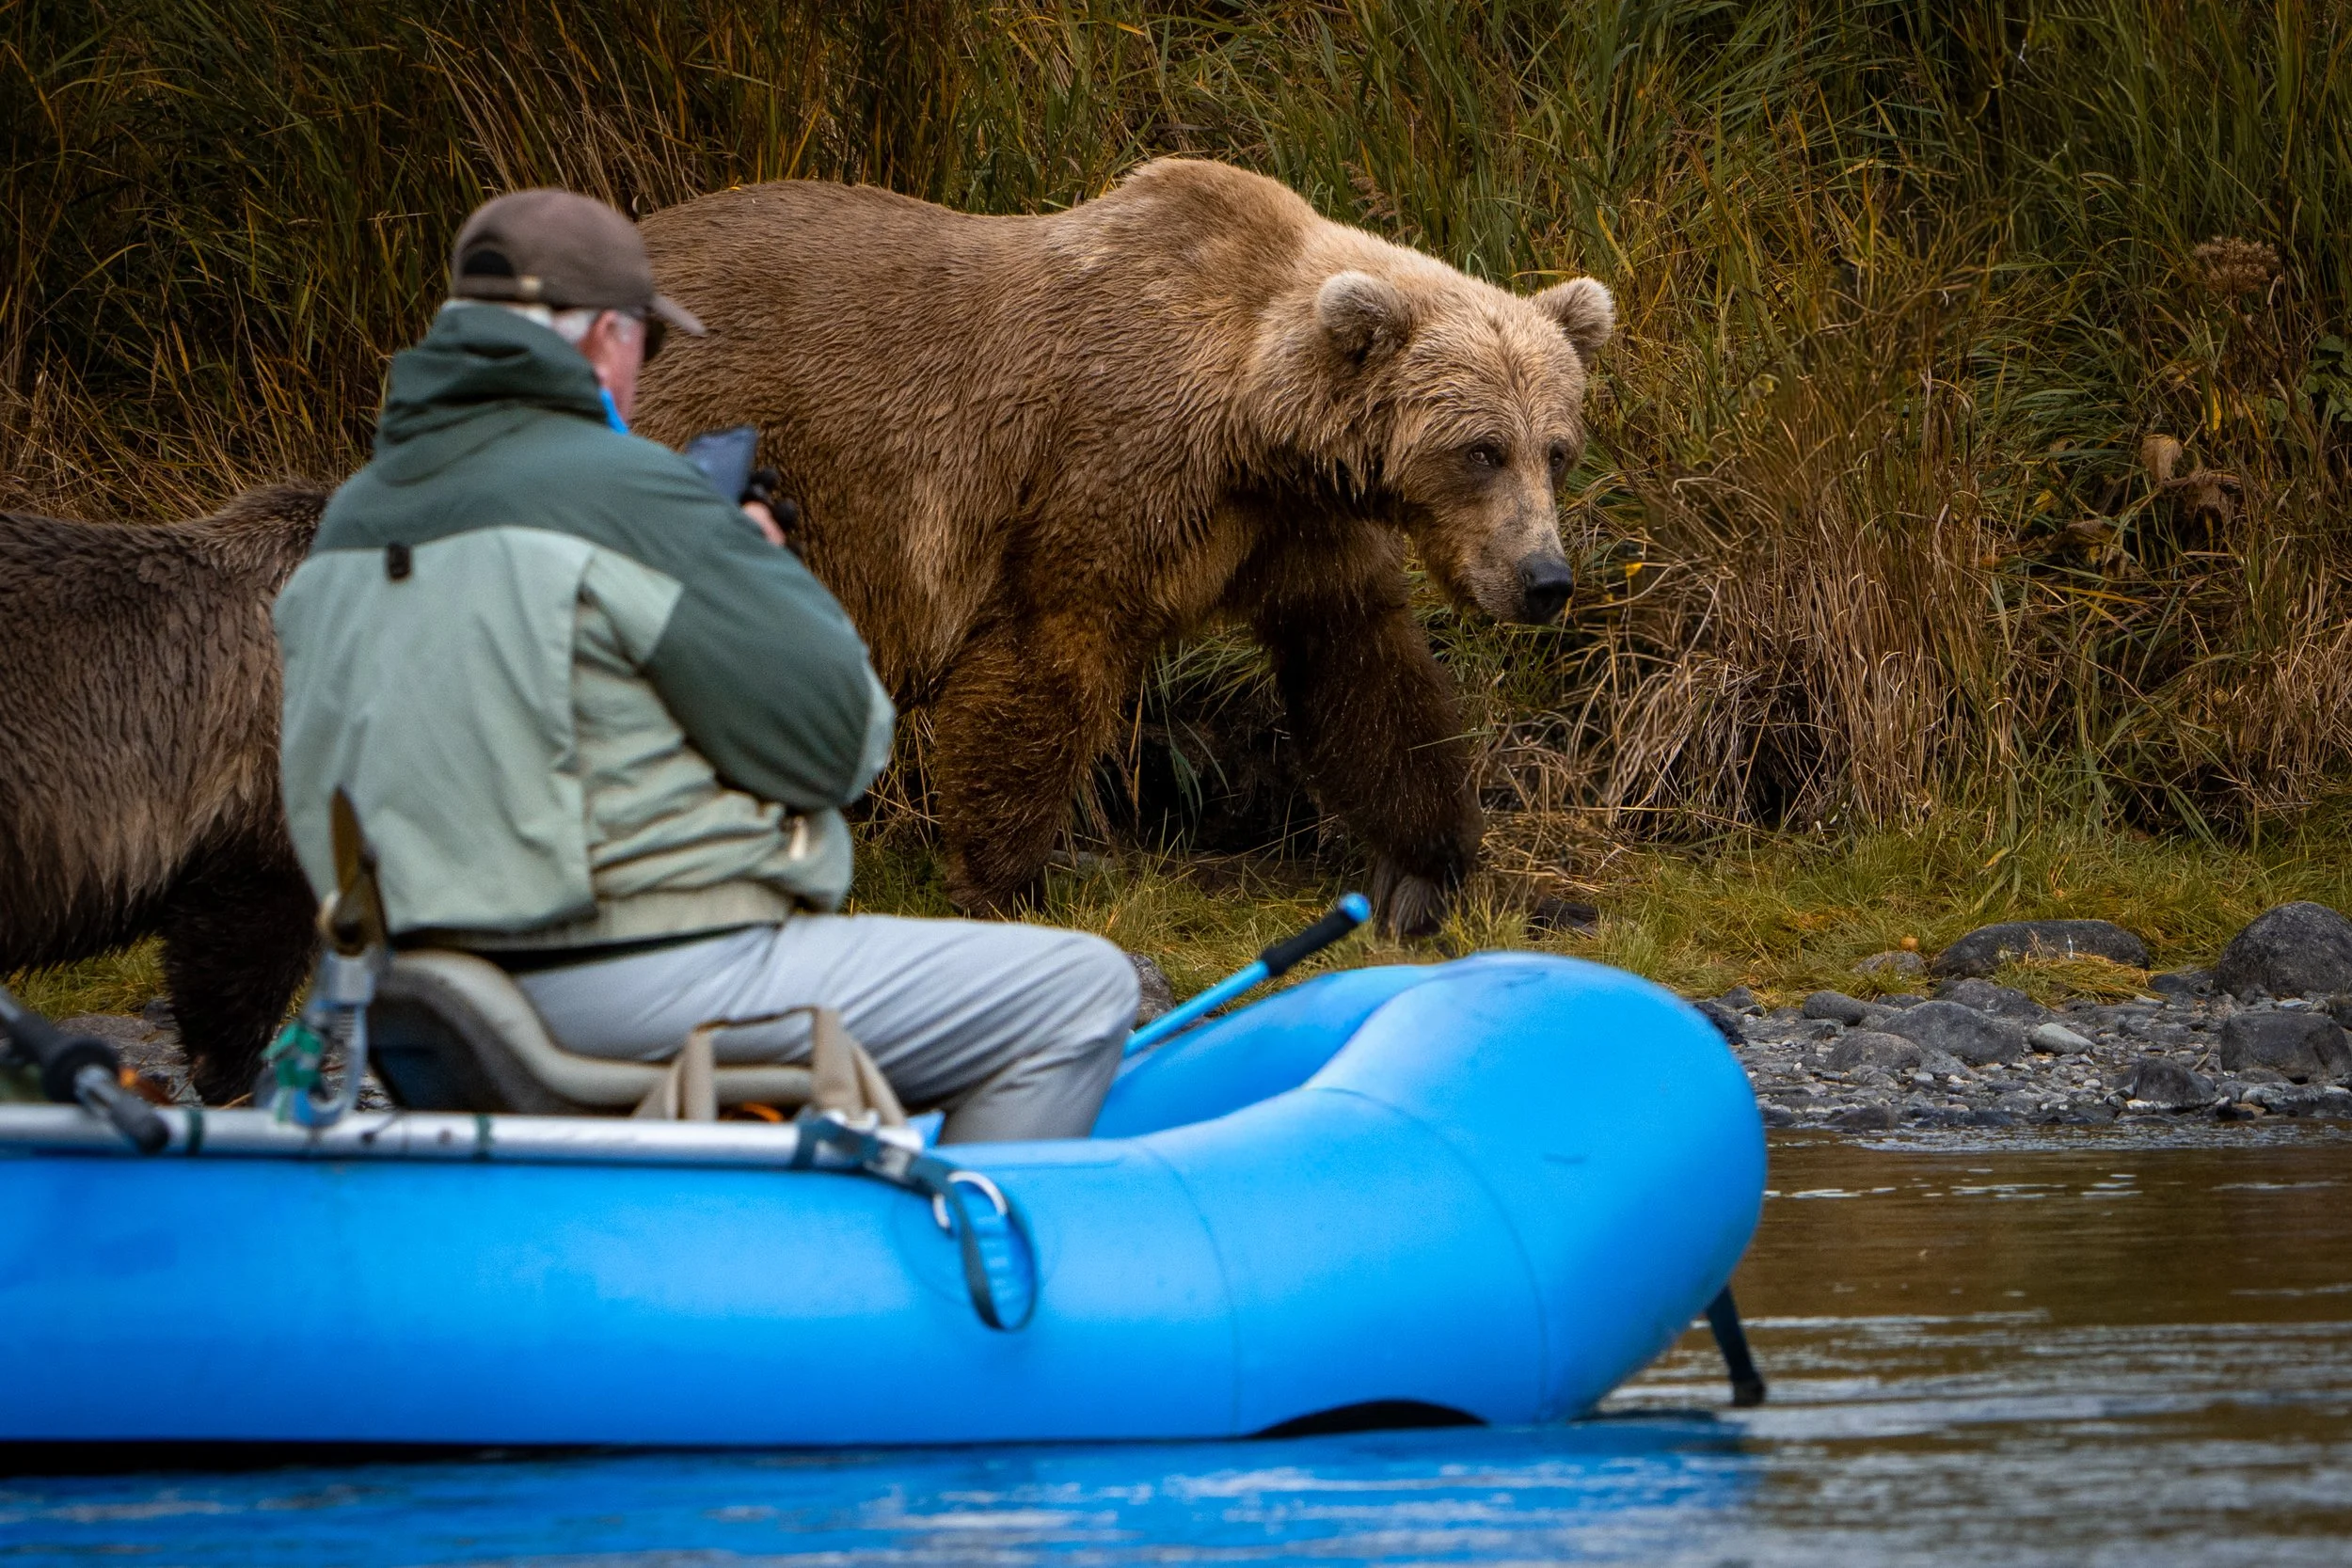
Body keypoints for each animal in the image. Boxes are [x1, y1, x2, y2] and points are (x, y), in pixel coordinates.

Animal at [634, 157, 1612, 934]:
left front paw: (1425, 870)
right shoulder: (1106, 469)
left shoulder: (1293, 527)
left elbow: (1364, 667)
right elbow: (1048, 655)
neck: (1253, 419)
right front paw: (1007, 879)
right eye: (1480, 449)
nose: (1544, 578)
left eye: (1557, 448)